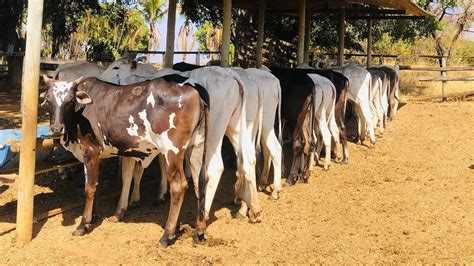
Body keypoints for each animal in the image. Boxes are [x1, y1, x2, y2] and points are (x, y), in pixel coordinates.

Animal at [39, 73, 210, 247]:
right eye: (48, 100)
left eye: (70, 101)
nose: (56, 128)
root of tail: (195, 93)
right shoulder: (101, 155)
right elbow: (99, 186)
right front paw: (95, 216)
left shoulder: (90, 151)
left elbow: (89, 189)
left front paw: (83, 224)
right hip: (196, 148)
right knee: (200, 182)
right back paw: (199, 230)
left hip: (171, 152)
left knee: (178, 186)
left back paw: (167, 235)